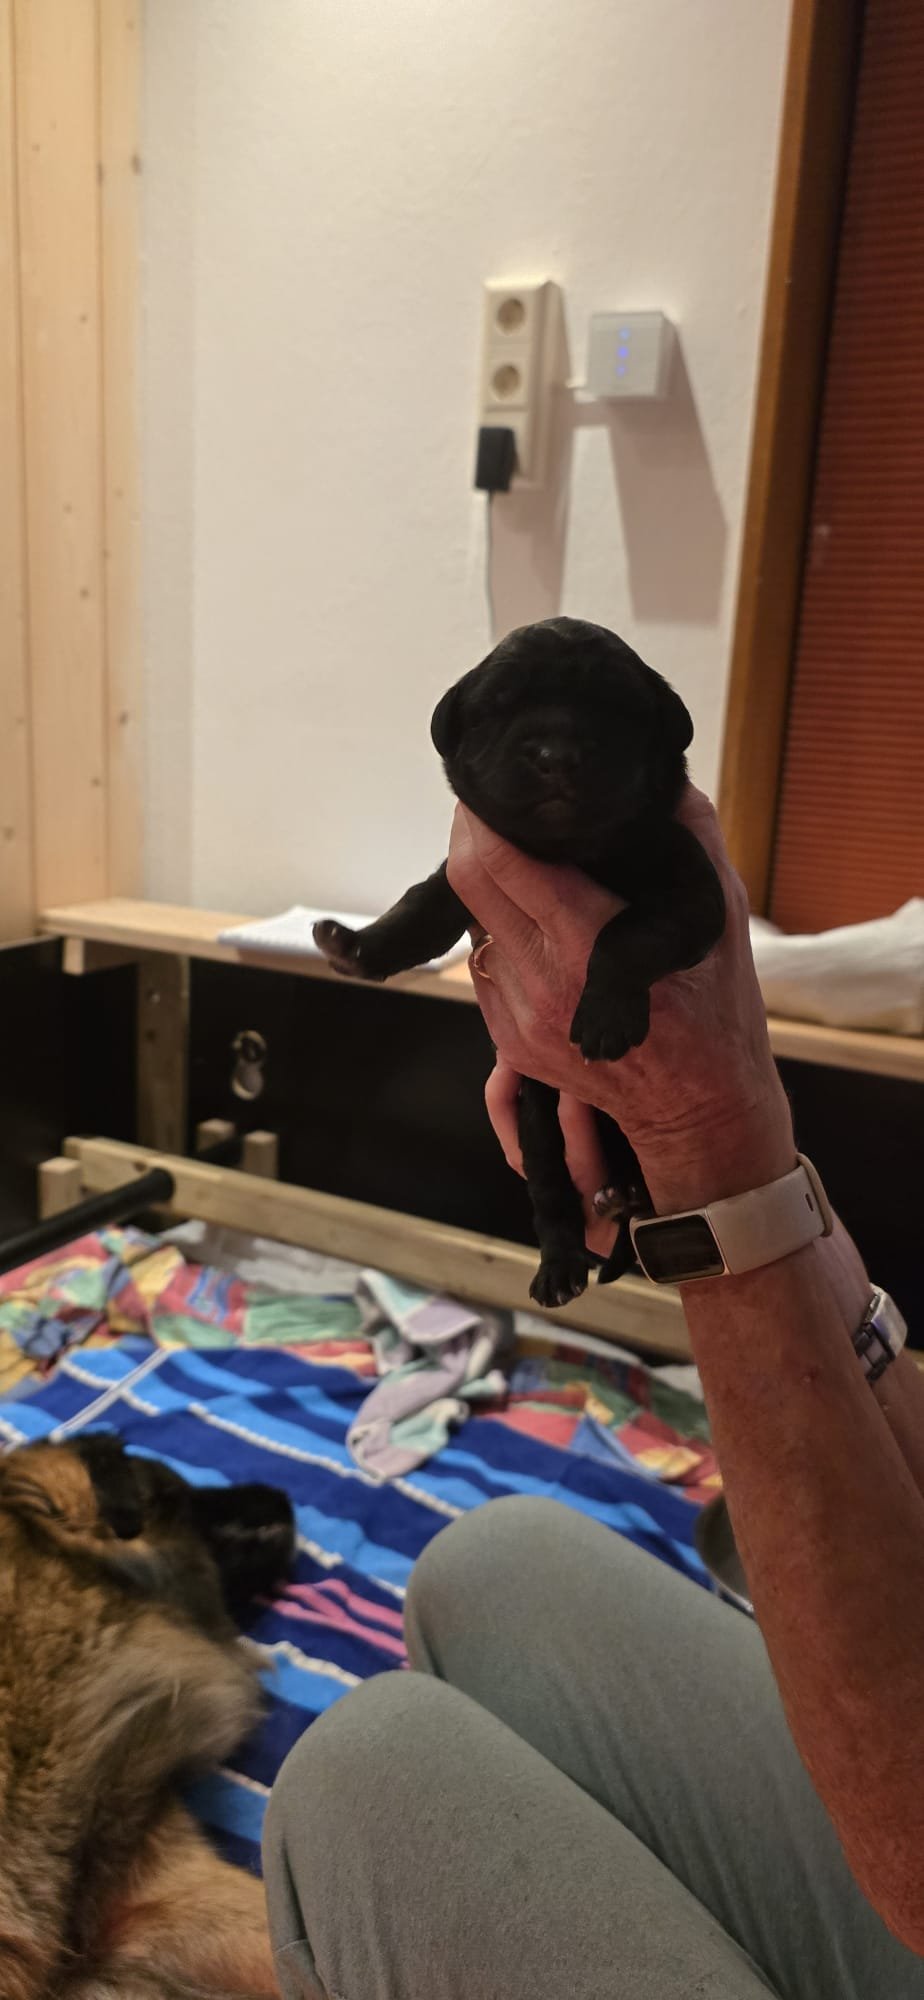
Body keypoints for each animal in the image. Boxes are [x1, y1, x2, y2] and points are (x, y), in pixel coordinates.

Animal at [314, 617, 725, 1306]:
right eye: (500, 707)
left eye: (615, 707)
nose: (555, 755)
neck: (570, 852)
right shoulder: (465, 881)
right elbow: (420, 904)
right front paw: (357, 945)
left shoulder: (691, 888)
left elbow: (627, 931)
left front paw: (605, 1018)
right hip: (539, 1121)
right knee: (552, 1191)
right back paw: (563, 1262)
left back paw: (627, 1199)